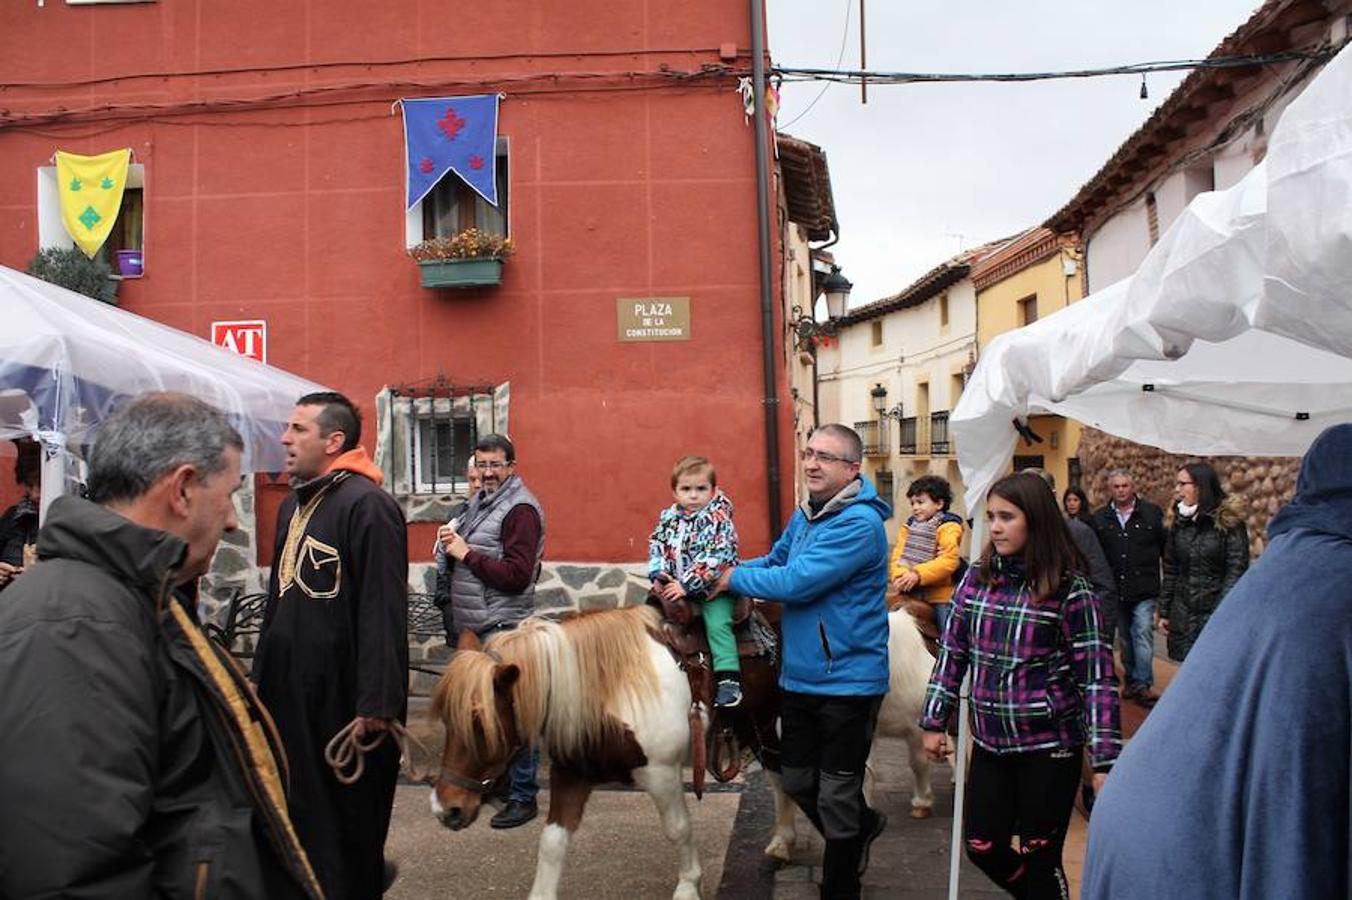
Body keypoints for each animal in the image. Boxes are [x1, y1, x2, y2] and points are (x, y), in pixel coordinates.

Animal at [427, 602, 794, 897]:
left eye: (479, 722)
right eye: (446, 718)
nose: (446, 810)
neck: (611, 691)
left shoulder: (661, 773)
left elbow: (678, 829)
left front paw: (689, 886)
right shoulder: (571, 773)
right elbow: (551, 842)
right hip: (756, 723)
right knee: (776, 772)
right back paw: (781, 840)